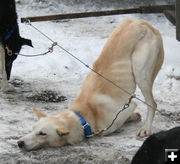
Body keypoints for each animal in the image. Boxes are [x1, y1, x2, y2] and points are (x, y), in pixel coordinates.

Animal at [17, 18, 165, 151]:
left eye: (42, 134)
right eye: (33, 129)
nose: (19, 142)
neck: (84, 115)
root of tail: (141, 23)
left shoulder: (126, 108)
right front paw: (134, 117)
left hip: (141, 74)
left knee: (152, 103)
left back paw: (146, 128)